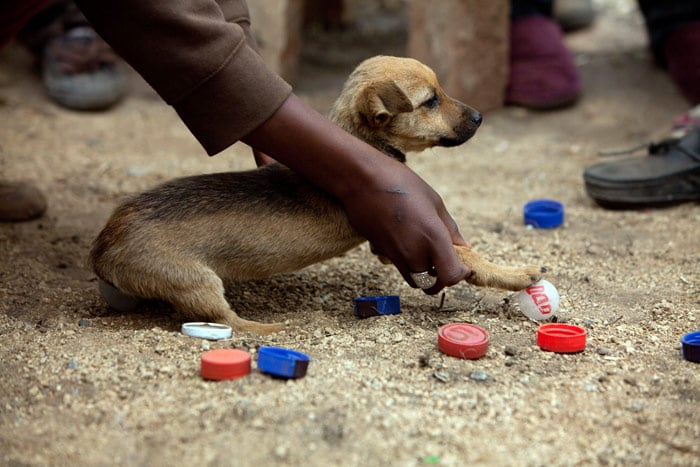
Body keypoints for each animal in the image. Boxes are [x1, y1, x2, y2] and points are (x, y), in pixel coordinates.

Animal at [89, 55, 548, 332]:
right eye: (431, 101)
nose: (480, 116)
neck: (362, 140)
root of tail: (103, 244)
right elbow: (467, 254)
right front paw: (514, 272)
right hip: (195, 281)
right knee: (224, 320)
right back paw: (269, 328)